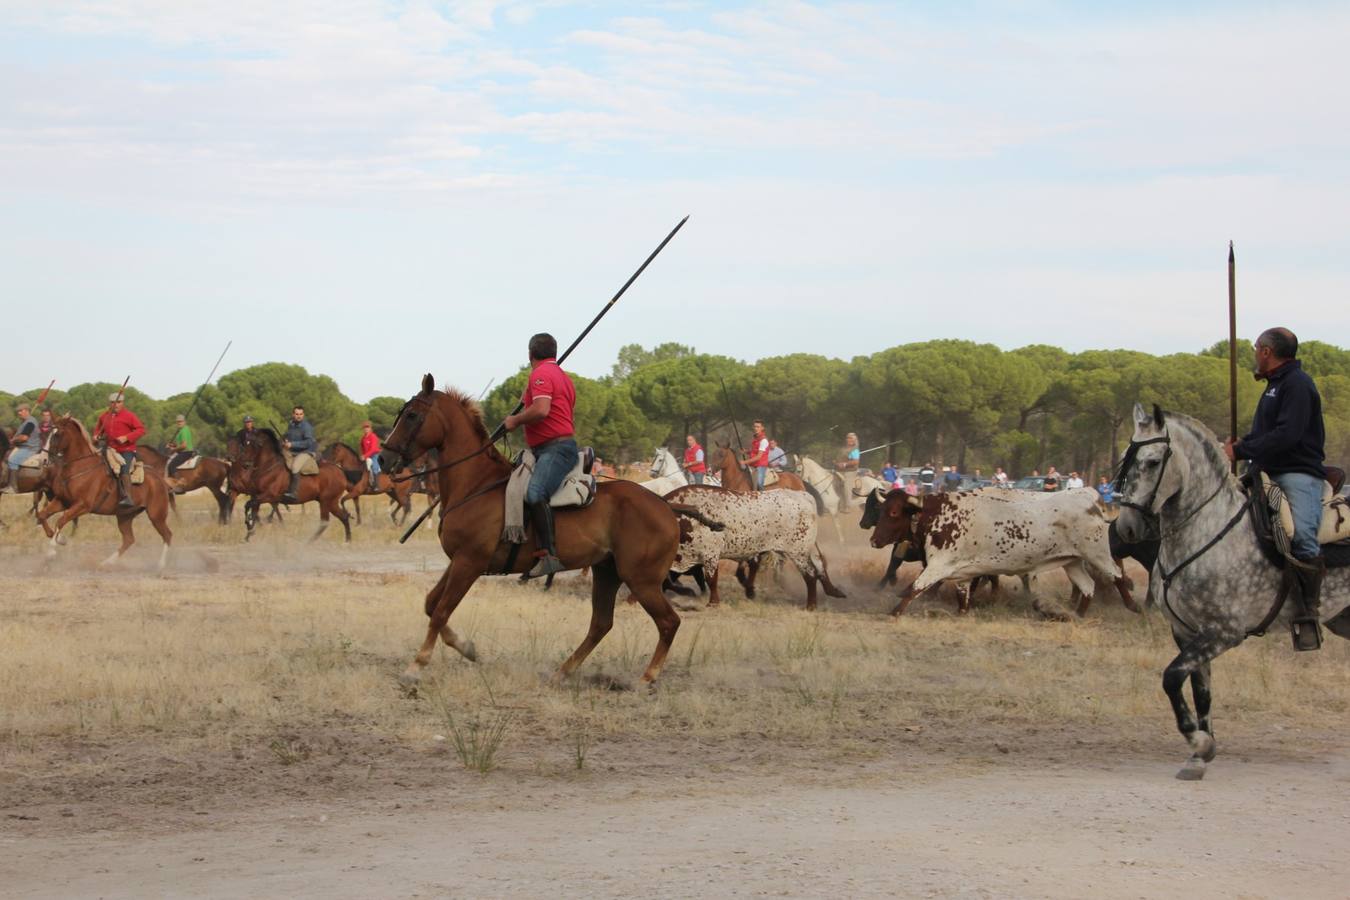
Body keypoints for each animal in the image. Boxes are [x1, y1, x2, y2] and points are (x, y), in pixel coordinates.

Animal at [35, 415, 172, 569]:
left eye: (57, 435)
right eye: (46, 433)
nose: (42, 459)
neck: (81, 467)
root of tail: (160, 479)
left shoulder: (83, 506)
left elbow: (61, 520)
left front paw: (51, 552)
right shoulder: (63, 501)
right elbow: (42, 515)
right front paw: (61, 539)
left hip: (156, 515)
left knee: (167, 535)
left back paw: (160, 565)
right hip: (125, 516)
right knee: (129, 539)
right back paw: (107, 562)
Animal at [380, 377, 685, 685]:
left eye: (411, 415)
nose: (383, 458)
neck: (475, 484)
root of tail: (665, 505)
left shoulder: (469, 563)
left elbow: (441, 611)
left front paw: (417, 665)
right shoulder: (458, 561)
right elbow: (431, 604)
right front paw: (466, 647)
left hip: (641, 580)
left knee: (669, 622)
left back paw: (647, 677)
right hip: (607, 572)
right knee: (601, 623)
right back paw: (563, 671)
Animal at [661, 485, 842, 612]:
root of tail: (802, 496)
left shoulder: (709, 555)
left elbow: (711, 579)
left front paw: (713, 602)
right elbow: (669, 580)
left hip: (799, 553)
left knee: (811, 575)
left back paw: (811, 606)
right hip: (802, 552)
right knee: (819, 566)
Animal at [1107, 407, 1350, 782]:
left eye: (1152, 461)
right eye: (1124, 457)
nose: (1126, 527)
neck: (1208, 527)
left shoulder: (1223, 632)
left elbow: (1171, 678)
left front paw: (1199, 741)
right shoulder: (1188, 632)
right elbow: (1200, 690)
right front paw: (1199, 754)